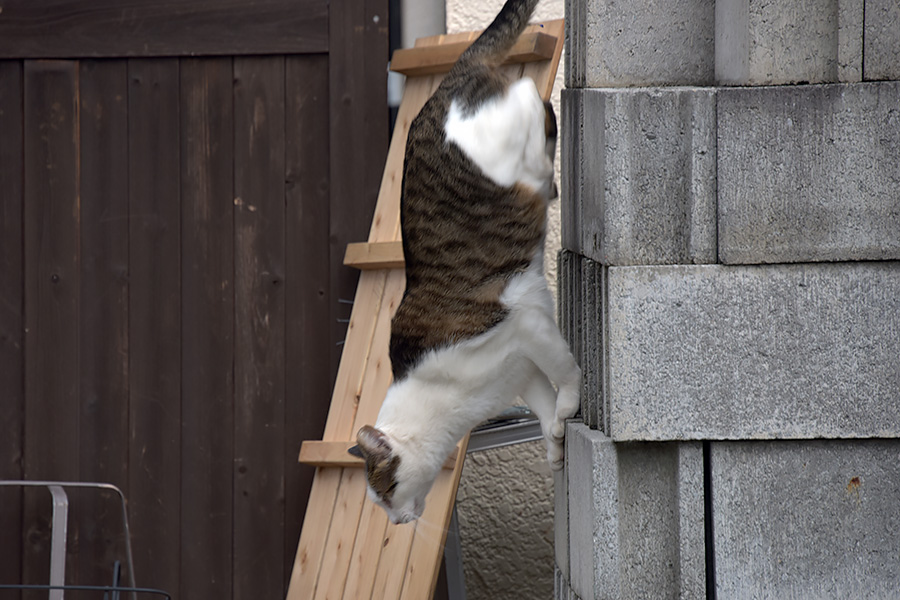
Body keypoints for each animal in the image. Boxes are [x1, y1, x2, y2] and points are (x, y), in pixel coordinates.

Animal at [348, 0, 580, 524]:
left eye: (383, 491)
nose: (395, 521)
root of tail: (451, 75)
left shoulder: (527, 325)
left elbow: (566, 374)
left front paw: (568, 411)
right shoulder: (522, 370)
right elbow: (544, 402)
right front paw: (555, 443)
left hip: (497, 141)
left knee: (528, 96)